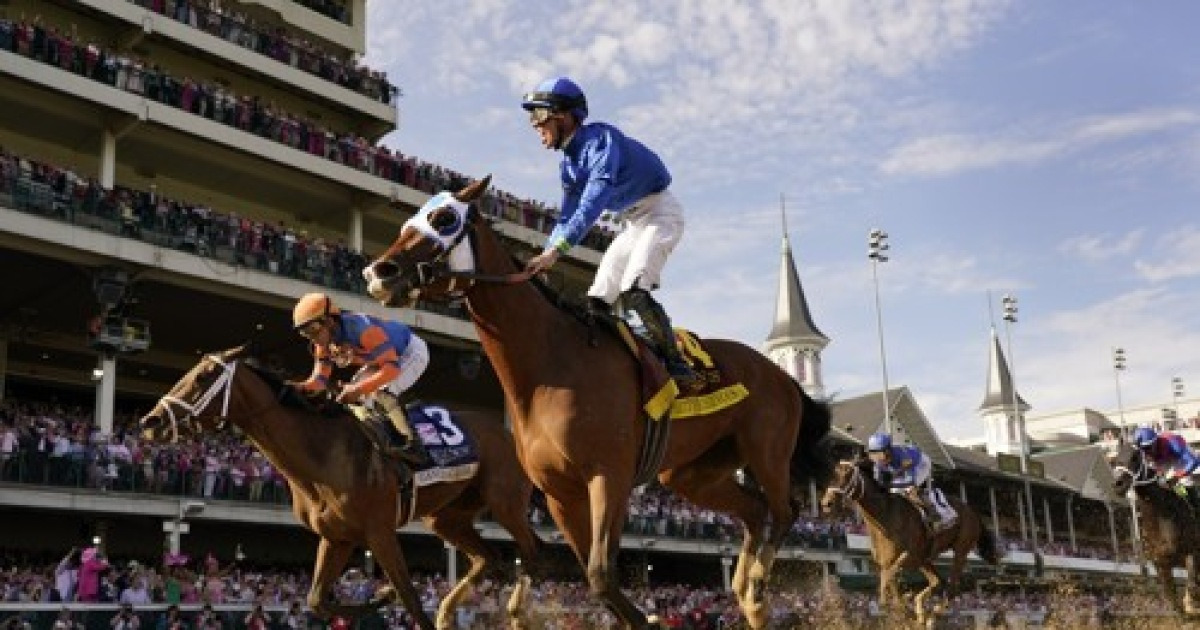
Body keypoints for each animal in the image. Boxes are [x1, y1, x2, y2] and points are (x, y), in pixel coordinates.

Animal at [137, 343, 544, 628]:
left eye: (204, 376)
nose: (150, 421)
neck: (321, 452)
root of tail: (512, 433)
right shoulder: (336, 537)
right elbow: (317, 600)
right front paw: (378, 598)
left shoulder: (380, 532)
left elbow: (411, 599)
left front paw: (387, 595)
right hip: (446, 517)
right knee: (489, 557)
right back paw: (448, 610)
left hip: (505, 502)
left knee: (532, 551)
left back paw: (515, 610)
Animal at [362, 176, 835, 628]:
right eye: (407, 222)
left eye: (444, 218)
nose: (378, 272)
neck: (551, 364)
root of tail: (783, 376)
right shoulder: (560, 493)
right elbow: (596, 579)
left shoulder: (608, 476)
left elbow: (600, 575)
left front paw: (648, 619)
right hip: (692, 474)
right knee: (755, 510)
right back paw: (746, 592)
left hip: (765, 449)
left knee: (785, 509)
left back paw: (754, 582)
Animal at [816, 456, 1003, 624]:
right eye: (832, 474)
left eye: (848, 476)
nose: (826, 504)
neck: (885, 517)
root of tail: (973, 512)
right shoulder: (888, 561)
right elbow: (890, 580)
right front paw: (903, 608)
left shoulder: (909, 556)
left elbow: (888, 577)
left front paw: (899, 603)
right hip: (926, 559)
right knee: (937, 581)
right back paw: (921, 611)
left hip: (961, 550)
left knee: (951, 587)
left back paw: (933, 614)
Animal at [1104, 439, 1200, 614]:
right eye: (1113, 461)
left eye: (1135, 457)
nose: (1118, 485)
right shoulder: (1160, 563)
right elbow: (1172, 600)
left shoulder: (1193, 552)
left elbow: (1192, 586)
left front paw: (1190, 604)